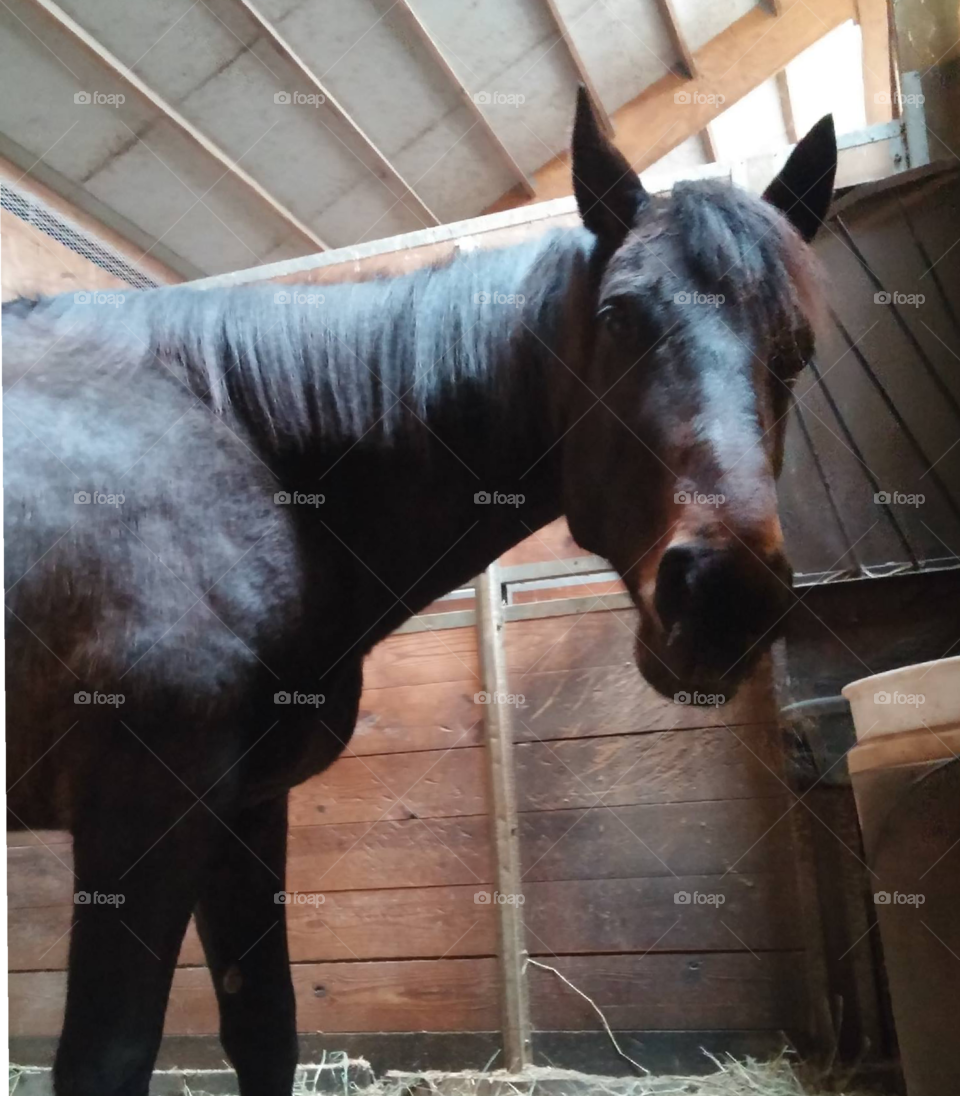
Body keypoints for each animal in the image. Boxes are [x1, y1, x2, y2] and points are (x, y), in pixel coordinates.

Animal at [3, 94, 837, 1096]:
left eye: (797, 349)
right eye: (619, 316)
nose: (724, 598)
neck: (241, 450)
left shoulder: (243, 807)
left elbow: (265, 1027)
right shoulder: (142, 803)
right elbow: (110, 1054)